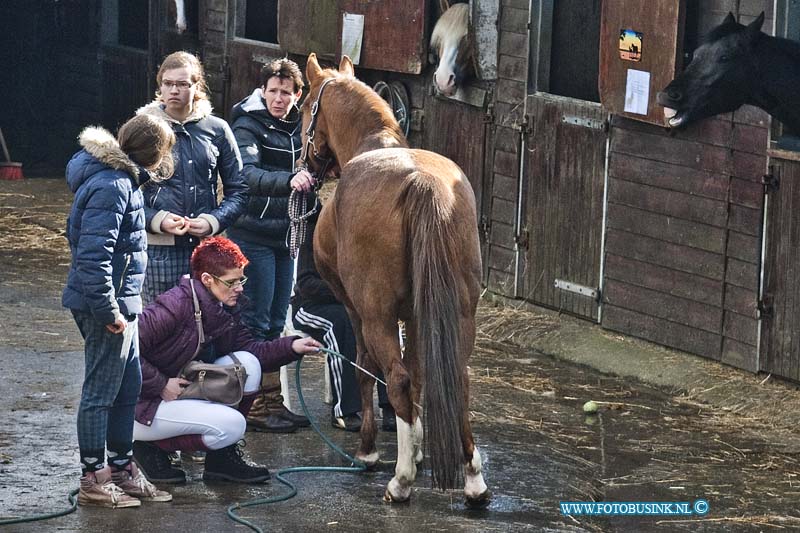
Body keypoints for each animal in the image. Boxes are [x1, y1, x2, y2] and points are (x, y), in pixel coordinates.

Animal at [302, 55, 484, 508]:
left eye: (305, 108)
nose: (307, 166)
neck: (374, 144)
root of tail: (423, 183)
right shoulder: (417, 317)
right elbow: (419, 374)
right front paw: (416, 446)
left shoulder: (356, 311)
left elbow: (367, 370)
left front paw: (371, 451)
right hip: (460, 313)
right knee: (456, 378)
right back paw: (473, 480)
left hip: (376, 315)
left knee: (395, 378)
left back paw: (400, 481)